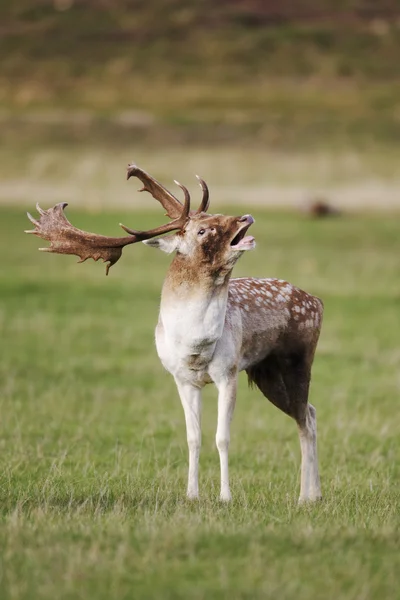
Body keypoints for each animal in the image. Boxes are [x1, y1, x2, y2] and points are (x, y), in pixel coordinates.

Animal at [26, 162, 324, 504]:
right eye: (203, 229)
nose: (245, 217)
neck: (194, 345)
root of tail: (317, 301)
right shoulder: (182, 378)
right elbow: (193, 437)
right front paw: (192, 494)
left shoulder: (228, 372)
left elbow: (222, 437)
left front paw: (225, 496)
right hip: (268, 373)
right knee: (310, 412)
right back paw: (312, 494)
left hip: (297, 361)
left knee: (306, 419)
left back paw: (307, 497)